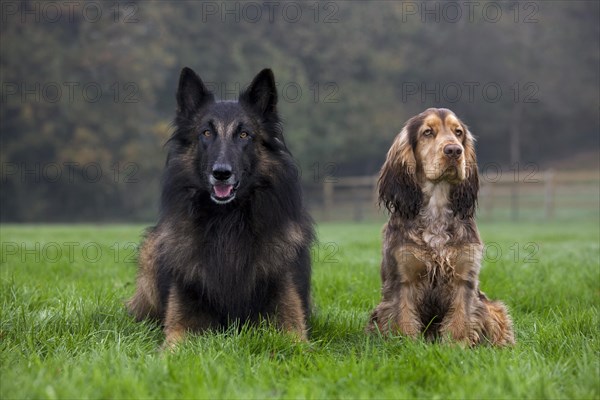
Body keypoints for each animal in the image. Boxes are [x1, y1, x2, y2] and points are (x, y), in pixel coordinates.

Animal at [126, 68, 314, 346]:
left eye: (244, 134)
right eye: (206, 133)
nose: (221, 173)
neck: (228, 222)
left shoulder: (289, 326)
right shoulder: (181, 325)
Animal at [368, 108, 512, 346]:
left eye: (458, 132)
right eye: (428, 132)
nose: (454, 150)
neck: (436, 208)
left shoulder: (464, 277)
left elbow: (460, 320)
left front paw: (456, 346)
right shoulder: (403, 278)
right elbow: (404, 318)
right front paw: (407, 345)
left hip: (492, 307)